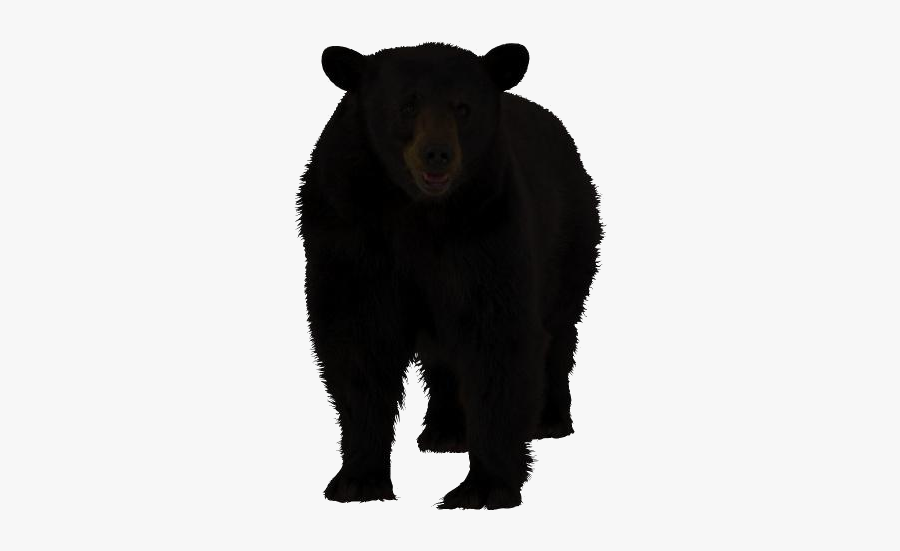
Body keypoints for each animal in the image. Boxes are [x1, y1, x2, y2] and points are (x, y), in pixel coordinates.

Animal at [297, 43, 603, 509]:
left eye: (464, 107)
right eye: (406, 105)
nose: (437, 153)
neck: (417, 212)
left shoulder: (490, 231)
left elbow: (498, 339)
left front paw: (484, 487)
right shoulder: (347, 236)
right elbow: (358, 347)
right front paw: (358, 480)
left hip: (571, 237)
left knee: (559, 328)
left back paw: (549, 418)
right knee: (441, 352)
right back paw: (445, 431)